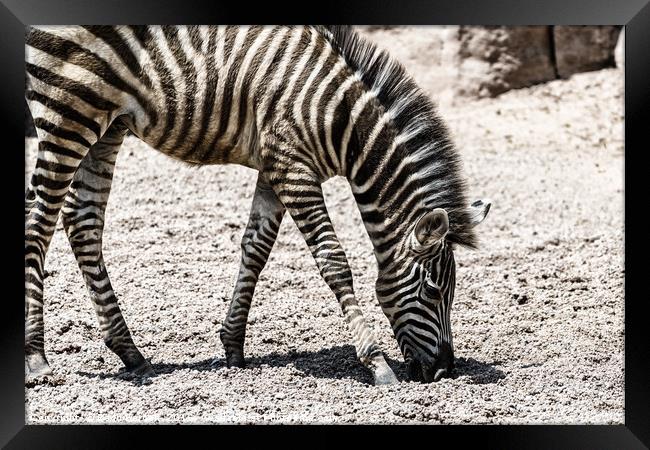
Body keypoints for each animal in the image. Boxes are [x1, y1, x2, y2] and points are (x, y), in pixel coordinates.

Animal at [26, 24, 492, 384]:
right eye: (433, 289)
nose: (444, 371)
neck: (343, 124)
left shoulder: (275, 167)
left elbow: (256, 248)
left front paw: (233, 345)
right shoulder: (292, 168)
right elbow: (333, 260)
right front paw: (376, 363)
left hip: (106, 124)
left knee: (82, 221)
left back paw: (128, 350)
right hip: (67, 112)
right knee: (39, 223)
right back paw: (37, 359)